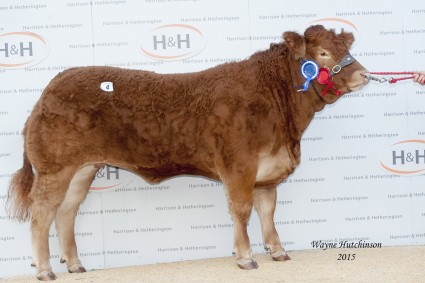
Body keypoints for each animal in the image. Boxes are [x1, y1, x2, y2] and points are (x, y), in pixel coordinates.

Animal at [8, 26, 370, 282]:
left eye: (347, 50)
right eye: (323, 52)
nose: (364, 75)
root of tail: (52, 87)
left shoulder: (267, 171)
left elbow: (268, 212)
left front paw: (277, 252)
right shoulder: (239, 167)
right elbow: (241, 211)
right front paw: (245, 257)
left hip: (83, 168)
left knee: (66, 212)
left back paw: (75, 265)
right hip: (55, 168)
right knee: (42, 214)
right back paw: (44, 270)